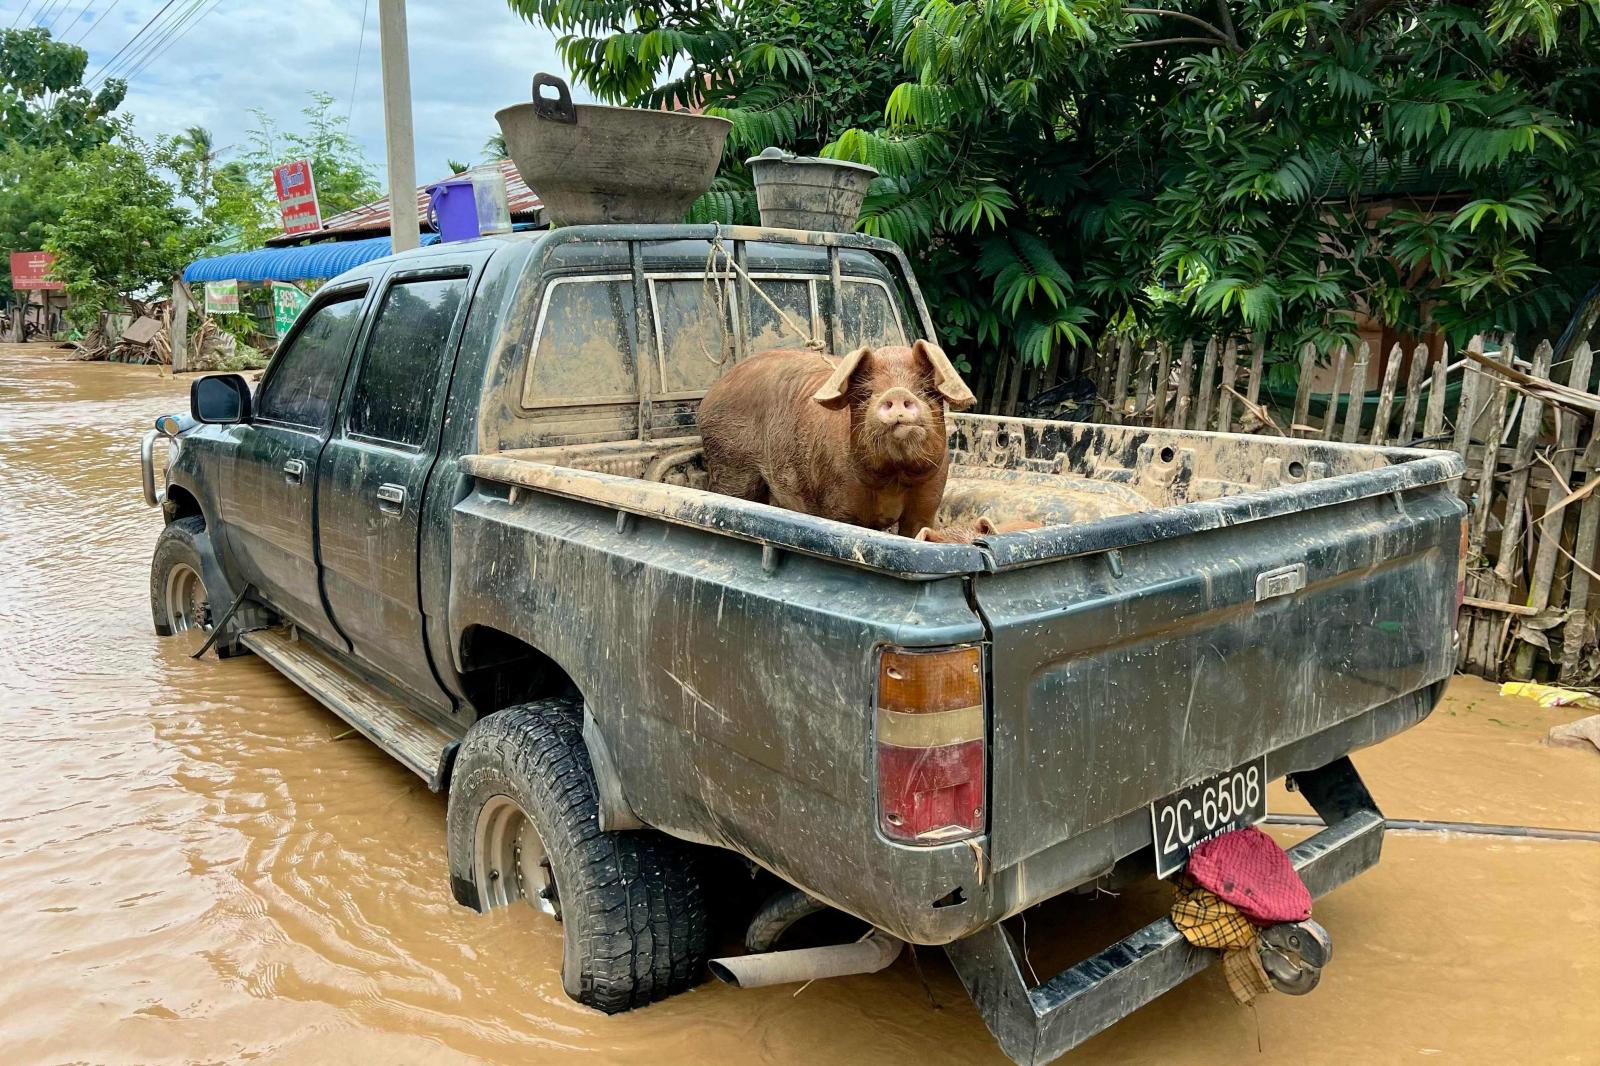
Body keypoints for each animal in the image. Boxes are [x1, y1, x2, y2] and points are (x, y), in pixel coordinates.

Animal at [700, 342, 972, 531]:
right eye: (867, 393)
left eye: (926, 390)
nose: (896, 393)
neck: (893, 478)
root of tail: (714, 390)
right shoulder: (838, 505)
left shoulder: (929, 499)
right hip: (730, 461)